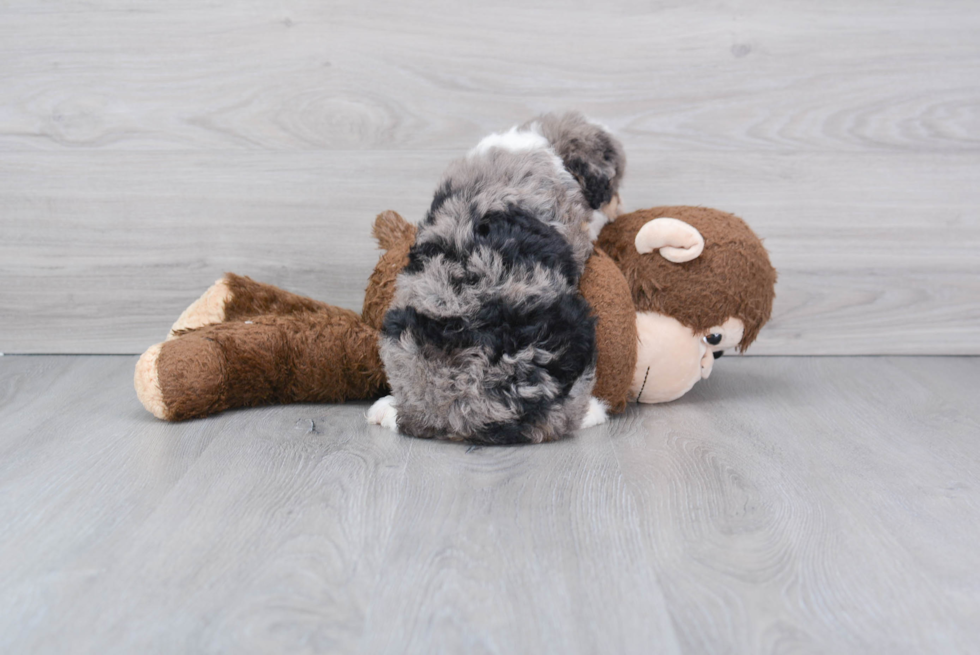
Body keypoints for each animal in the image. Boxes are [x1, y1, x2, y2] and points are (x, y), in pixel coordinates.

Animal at [368, 113, 628, 446]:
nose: (620, 205)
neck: (544, 141)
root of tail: (462, 410)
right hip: (573, 332)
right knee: (566, 415)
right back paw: (595, 410)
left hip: (397, 334)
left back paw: (386, 408)